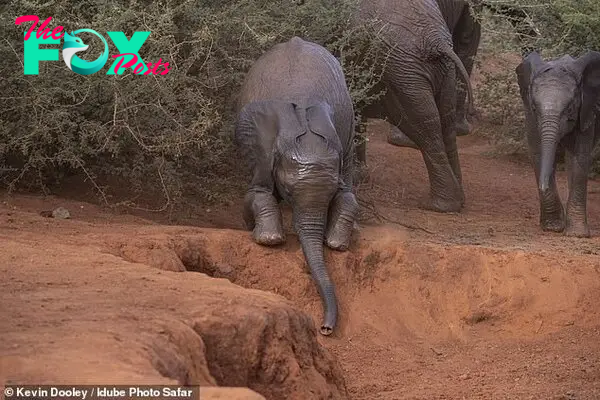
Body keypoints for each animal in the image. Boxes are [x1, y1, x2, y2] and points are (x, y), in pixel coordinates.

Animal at [233, 37, 356, 336]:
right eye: (288, 192)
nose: (325, 329)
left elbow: (347, 196)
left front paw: (336, 244)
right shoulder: (260, 148)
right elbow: (257, 192)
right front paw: (269, 239)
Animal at [352, 0, 474, 212]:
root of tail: (436, 40)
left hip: (402, 69)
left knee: (422, 124)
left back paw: (438, 205)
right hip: (440, 70)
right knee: (445, 121)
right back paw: (458, 199)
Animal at [516, 50, 600, 238]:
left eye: (569, 109)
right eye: (534, 108)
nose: (543, 185)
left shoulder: (586, 110)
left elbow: (580, 158)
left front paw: (577, 234)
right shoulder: (529, 114)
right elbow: (538, 152)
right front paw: (553, 227)